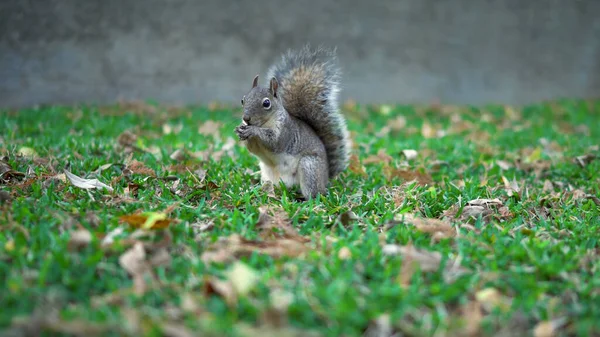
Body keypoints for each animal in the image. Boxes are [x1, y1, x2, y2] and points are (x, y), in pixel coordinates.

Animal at [232, 43, 350, 198]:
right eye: (243, 100)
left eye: (266, 103)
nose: (246, 118)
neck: (264, 123)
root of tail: (326, 177)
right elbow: (252, 148)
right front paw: (240, 130)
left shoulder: (285, 132)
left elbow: (273, 142)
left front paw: (253, 130)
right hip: (267, 174)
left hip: (309, 166)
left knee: (315, 192)